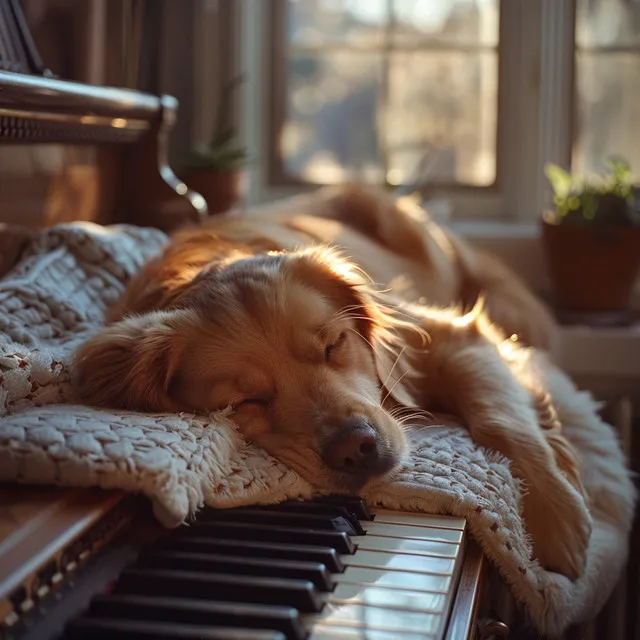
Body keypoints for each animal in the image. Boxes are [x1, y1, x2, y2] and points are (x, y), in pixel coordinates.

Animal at [72, 184, 592, 580]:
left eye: (333, 345)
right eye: (247, 400)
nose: (357, 449)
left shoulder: (447, 336)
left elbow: (501, 421)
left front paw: (555, 518)